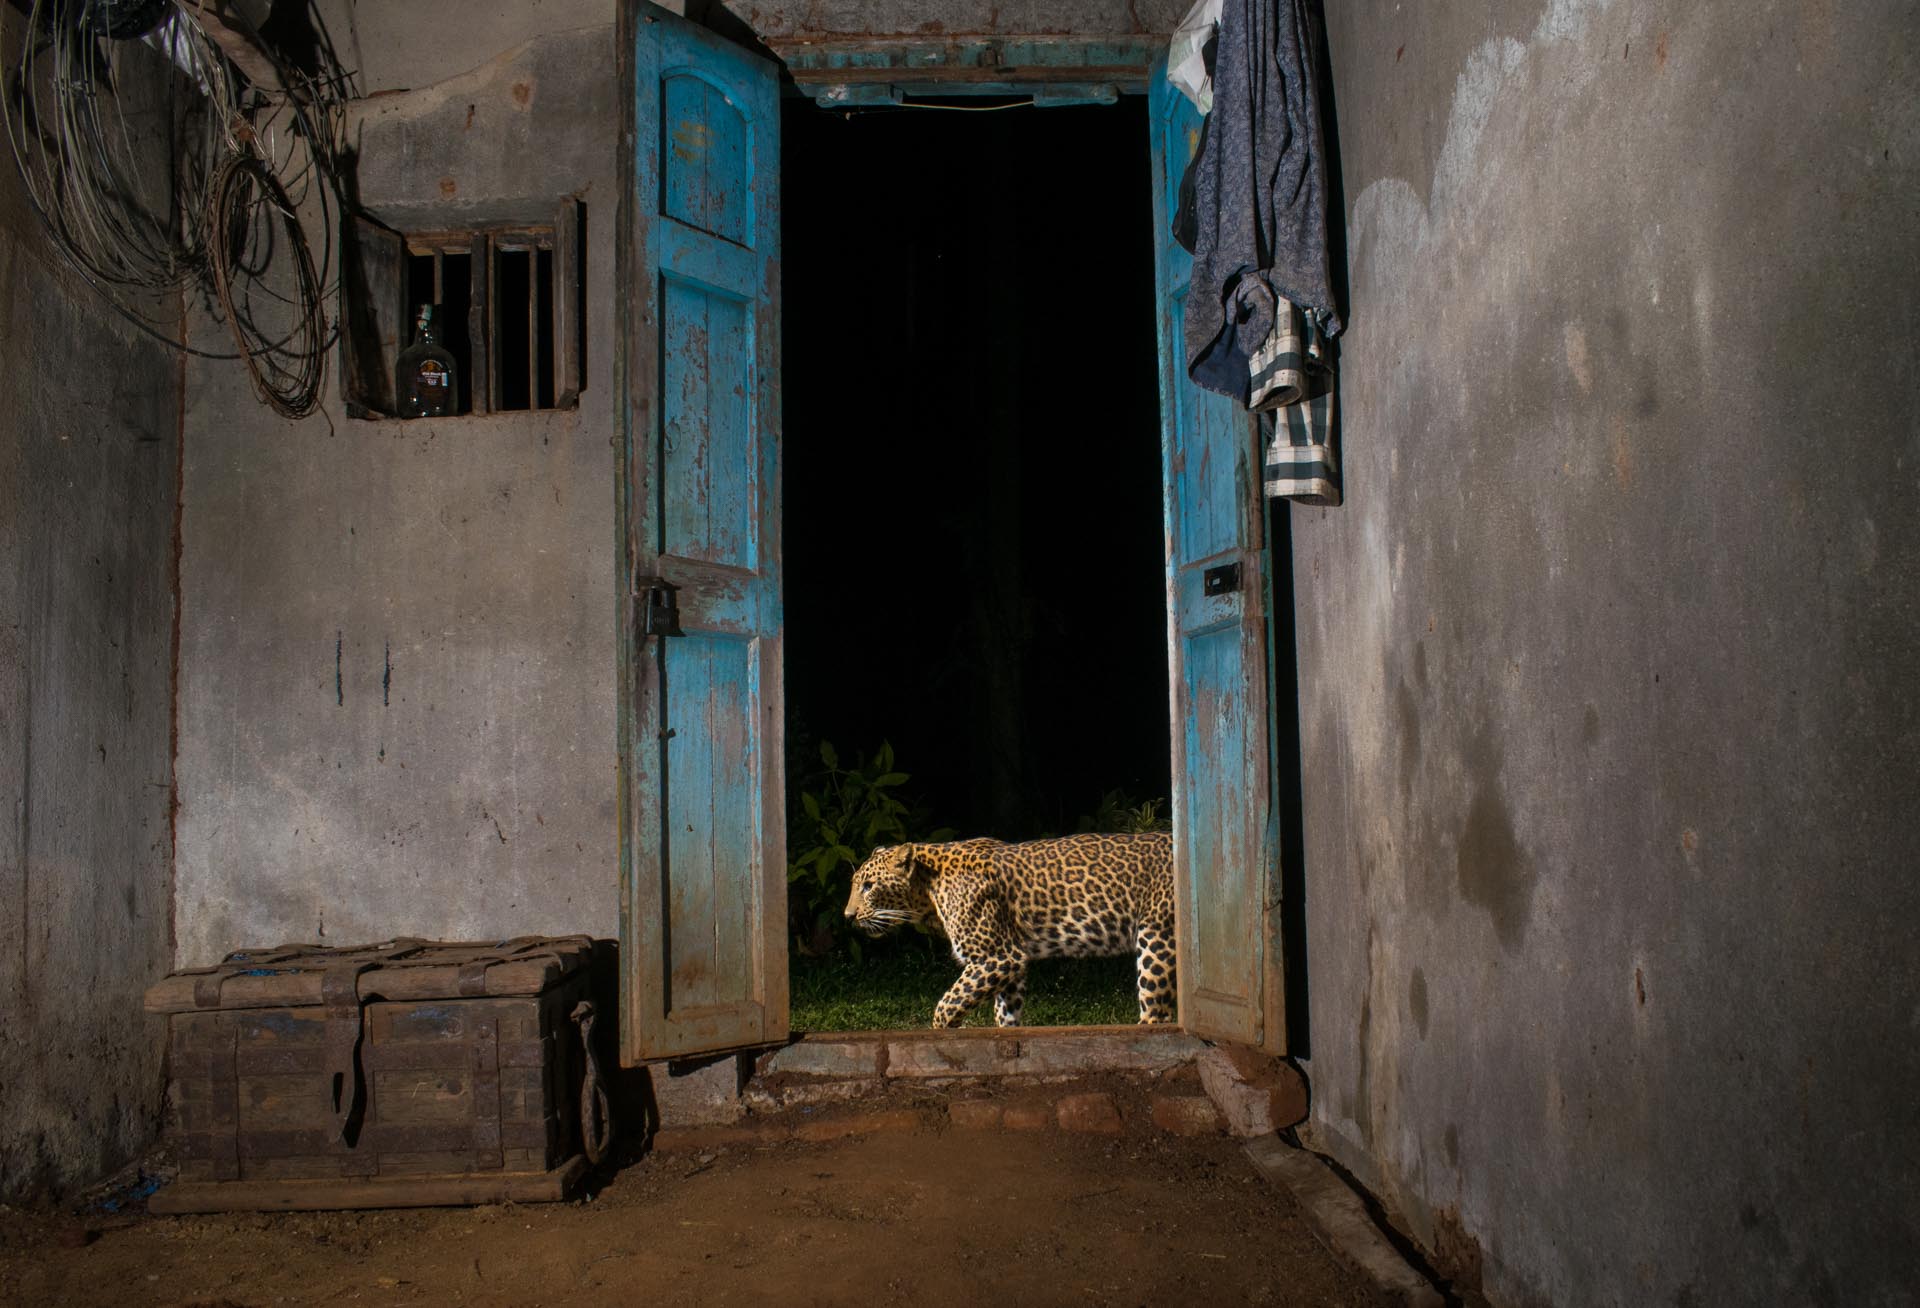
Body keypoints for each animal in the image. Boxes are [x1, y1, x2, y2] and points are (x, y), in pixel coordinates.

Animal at [843, 833, 1176, 1028]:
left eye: (869, 886)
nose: (848, 916)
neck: (928, 889)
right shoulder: (1009, 963)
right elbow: (1005, 1011)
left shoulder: (996, 957)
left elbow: (946, 1005)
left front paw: (945, 1032)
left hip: (1156, 935)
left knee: (1156, 1010)